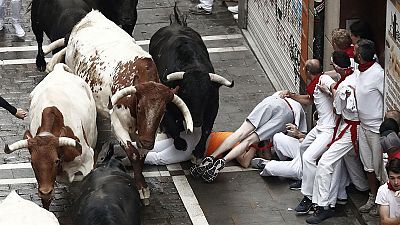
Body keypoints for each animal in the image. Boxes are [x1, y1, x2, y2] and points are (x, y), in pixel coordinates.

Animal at [148, 5, 233, 162]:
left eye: (206, 95)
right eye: (186, 94)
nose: (197, 121)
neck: (191, 66)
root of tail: (176, 24)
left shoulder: (213, 104)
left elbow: (206, 129)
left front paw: (198, 152)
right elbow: (173, 124)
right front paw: (180, 143)